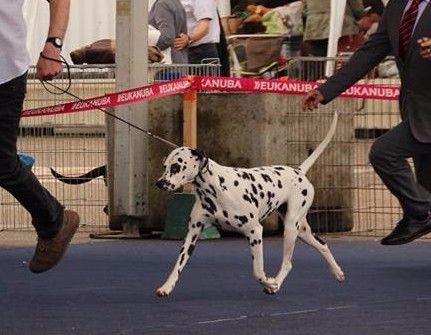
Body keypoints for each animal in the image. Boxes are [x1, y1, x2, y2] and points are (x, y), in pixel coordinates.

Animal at [155, 113, 344, 296]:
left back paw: (275, 284)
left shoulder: (255, 231)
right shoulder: (192, 235)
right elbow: (177, 266)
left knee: (287, 263)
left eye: (176, 166)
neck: (215, 187)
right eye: (165, 166)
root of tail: (298, 171)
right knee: (322, 244)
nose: (159, 183)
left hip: (291, 228)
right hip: (302, 231)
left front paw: (269, 282)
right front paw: (166, 287)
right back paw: (337, 272)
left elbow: (258, 272)